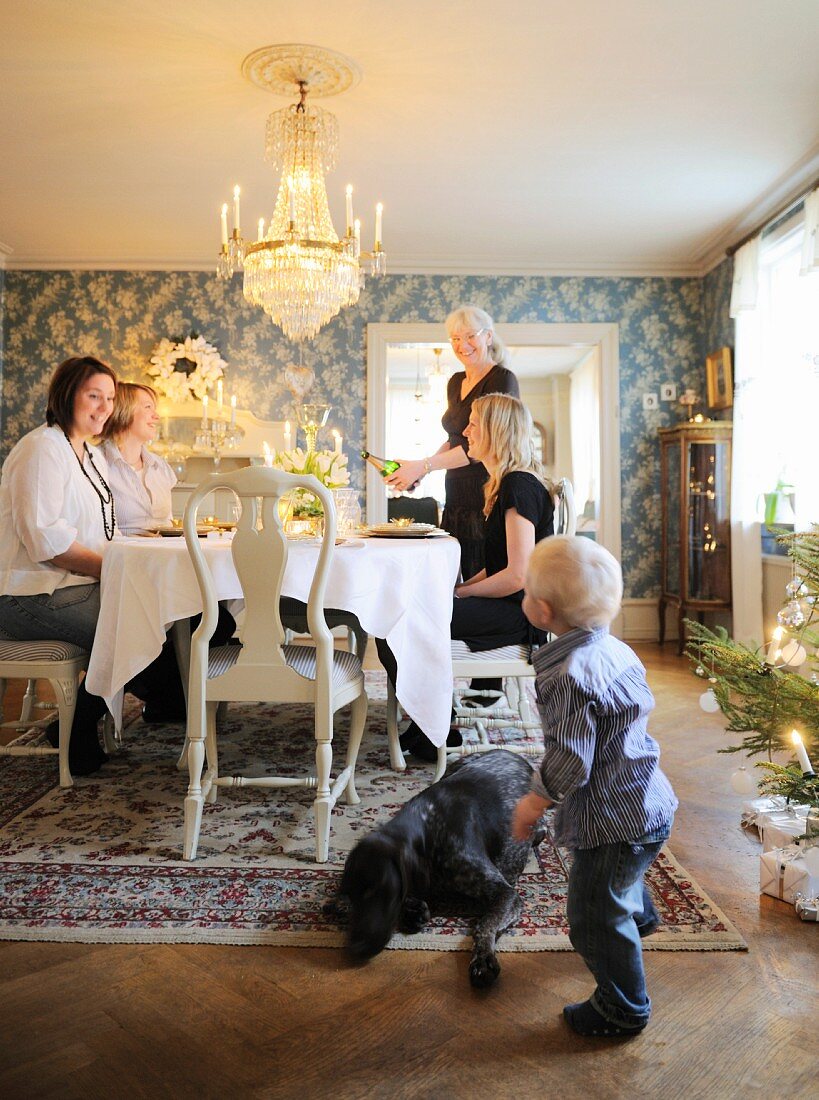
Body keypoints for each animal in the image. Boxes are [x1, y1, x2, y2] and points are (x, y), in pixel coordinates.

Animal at [338, 748, 543, 990]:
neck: (428, 830)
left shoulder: (505, 893)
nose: (355, 948)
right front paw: (413, 910)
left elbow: (484, 924)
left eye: (374, 889)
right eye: (349, 896)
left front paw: (483, 959)